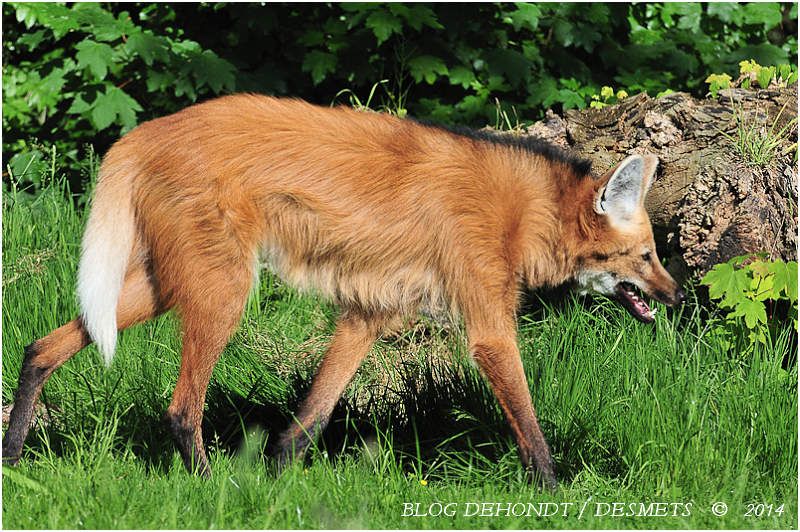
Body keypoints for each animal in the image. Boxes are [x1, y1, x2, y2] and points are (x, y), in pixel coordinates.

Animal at [3, 94, 684, 486]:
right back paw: (208, 483)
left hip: (167, 284)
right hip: (223, 290)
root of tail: (139, 133)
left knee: (44, 345)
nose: (676, 297)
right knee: (180, 408)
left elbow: (312, 415)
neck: (527, 212)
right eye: (647, 256)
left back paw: (13, 451)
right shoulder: (488, 326)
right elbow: (528, 422)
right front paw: (554, 489)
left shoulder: (366, 315)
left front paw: (277, 480)